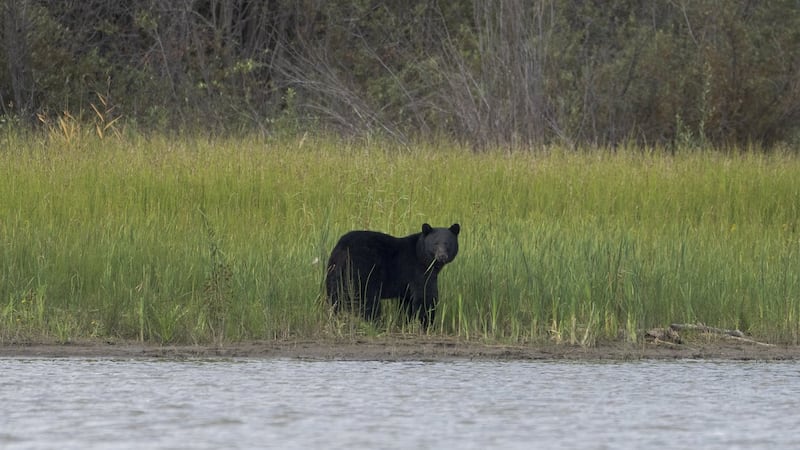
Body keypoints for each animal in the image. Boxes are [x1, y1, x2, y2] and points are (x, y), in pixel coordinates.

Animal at [325, 223, 460, 328]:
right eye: (435, 243)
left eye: (448, 243)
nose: (442, 256)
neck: (421, 255)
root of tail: (343, 248)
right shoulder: (419, 271)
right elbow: (425, 296)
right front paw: (428, 325)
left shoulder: (406, 285)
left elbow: (407, 303)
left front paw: (406, 323)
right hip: (363, 271)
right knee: (368, 300)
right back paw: (376, 323)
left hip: (335, 271)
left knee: (336, 297)